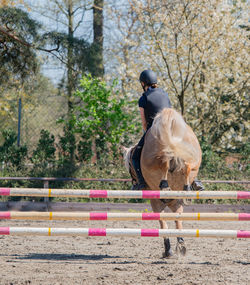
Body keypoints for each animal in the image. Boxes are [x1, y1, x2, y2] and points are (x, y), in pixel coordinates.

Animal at [124, 107, 202, 258]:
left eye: (129, 166)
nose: (134, 183)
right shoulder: (175, 201)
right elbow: (177, 219)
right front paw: (180, 244)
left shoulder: (156, 201)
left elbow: (163, 223)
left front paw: (168, 250)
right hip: (190, 157)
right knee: (187, 165)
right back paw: (186, 187)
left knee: (164, 161)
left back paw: (165, 185)